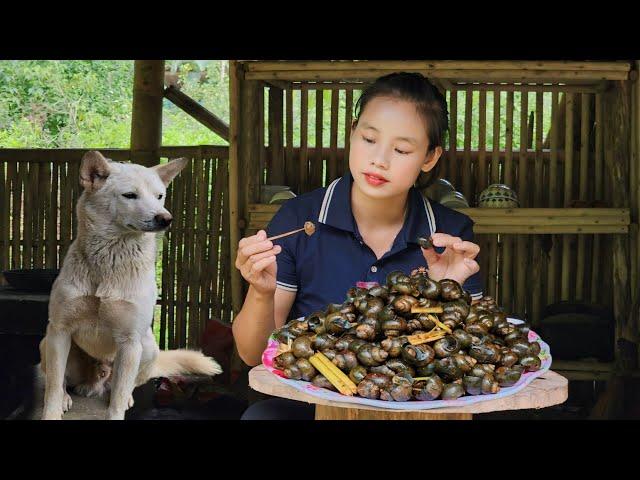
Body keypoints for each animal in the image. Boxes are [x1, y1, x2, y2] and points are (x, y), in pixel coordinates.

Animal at [40, 151, 221, 420]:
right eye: (130, 195)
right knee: (60, 379)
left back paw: (126, 397)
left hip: (147, 348)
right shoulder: (60, 330)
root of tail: (96, 379)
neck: (109, 263)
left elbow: (117, 398)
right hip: (49, 343)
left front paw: (119, 405)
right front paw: (52, 410)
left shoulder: (129, 341)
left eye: (159, 196)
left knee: (124, 385)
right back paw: (68, 395)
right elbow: (52, 387)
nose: (165, 218)